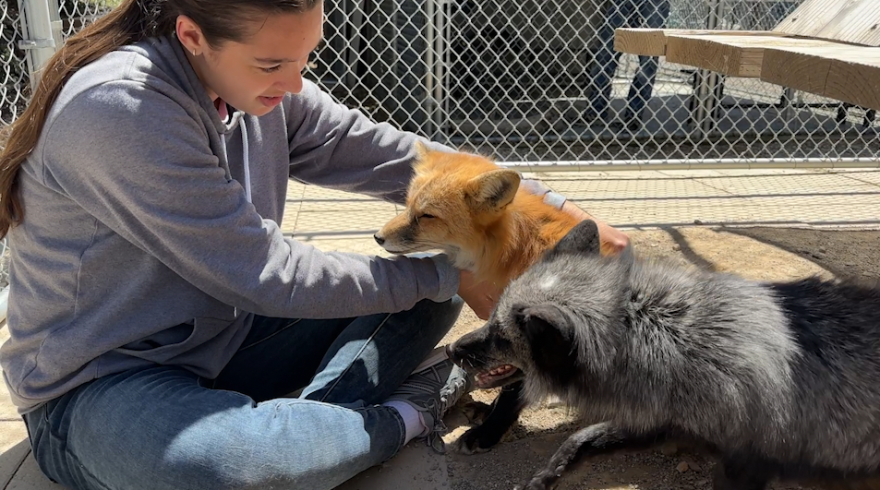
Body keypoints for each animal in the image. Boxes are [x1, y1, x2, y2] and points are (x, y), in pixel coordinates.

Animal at [450, 220, 880, 490]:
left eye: (501, 337)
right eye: (491, 319)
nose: (453, 350)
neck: (682, 341)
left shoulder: (745, 461)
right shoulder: (662, 420)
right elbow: (581, 438)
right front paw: (546, 474)